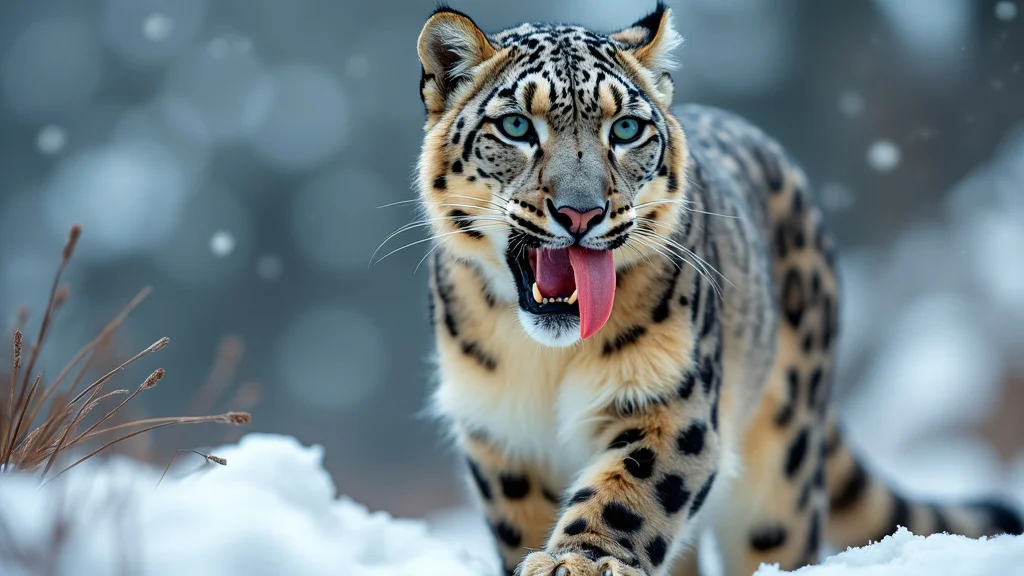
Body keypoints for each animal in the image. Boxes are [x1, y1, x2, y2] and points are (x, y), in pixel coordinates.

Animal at [409, 4, 1024, 575]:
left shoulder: (672, 400)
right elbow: (525, 517)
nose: (580, 212)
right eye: (516, 126)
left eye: (625, 129)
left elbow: (627, 491)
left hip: (782, 469)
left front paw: (580, 560)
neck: (548, 362)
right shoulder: (500, 432)